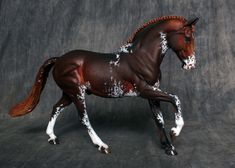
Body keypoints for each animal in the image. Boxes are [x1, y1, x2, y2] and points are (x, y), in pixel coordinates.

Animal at [10, 15, 199, 155]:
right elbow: (175, 99)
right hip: (76, 93)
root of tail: (59, 60)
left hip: (68, 94)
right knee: (83, 119)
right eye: (187, 37)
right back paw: (101, 145)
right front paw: (175, 131)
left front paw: (169, 147)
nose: (191, 65)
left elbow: (159, 119)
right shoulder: (145, 91)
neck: (142, 58)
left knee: (56, 108)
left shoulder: (153, 94)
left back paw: (52, 137)